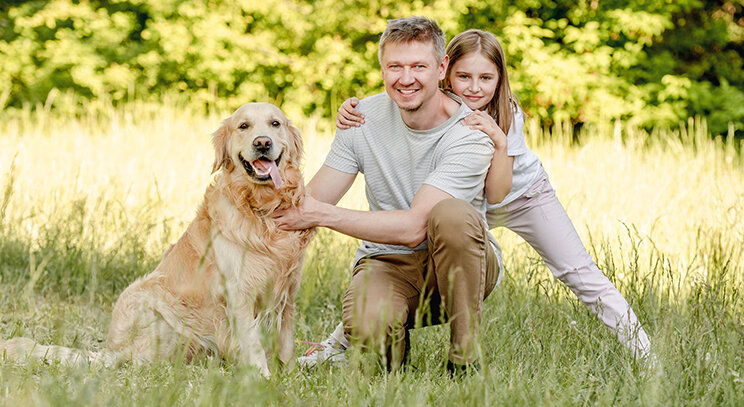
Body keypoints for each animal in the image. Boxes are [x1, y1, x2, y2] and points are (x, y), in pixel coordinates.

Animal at [0, 103, 314, 380]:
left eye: (275, 123)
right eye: (244, 126)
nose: (262, 143)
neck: (261, 209)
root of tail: (111, 351)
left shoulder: (287, 292)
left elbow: (286, 343)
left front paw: (289, 376)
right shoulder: (239, 294)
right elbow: (252, 342)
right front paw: (262, 379)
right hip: (148, 295)